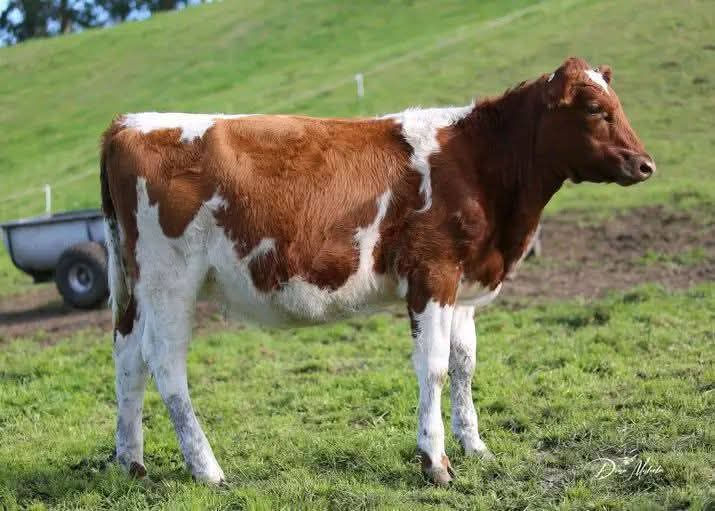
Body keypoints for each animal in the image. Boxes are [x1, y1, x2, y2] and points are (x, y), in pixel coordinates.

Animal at [100, 57, 654, 486]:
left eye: (617, 103)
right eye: (594, 109)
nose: (646, 164)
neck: (478, 164)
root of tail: (128, 122)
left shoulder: (464, 284)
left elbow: (464, 364)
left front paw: (475, 446)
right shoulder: (432, 274)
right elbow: (433, 366)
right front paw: (435, 461)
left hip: (137, 290)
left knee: (127, 359)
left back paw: (132, 462)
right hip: (170, 281)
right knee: (164, 364)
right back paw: (207, 469)